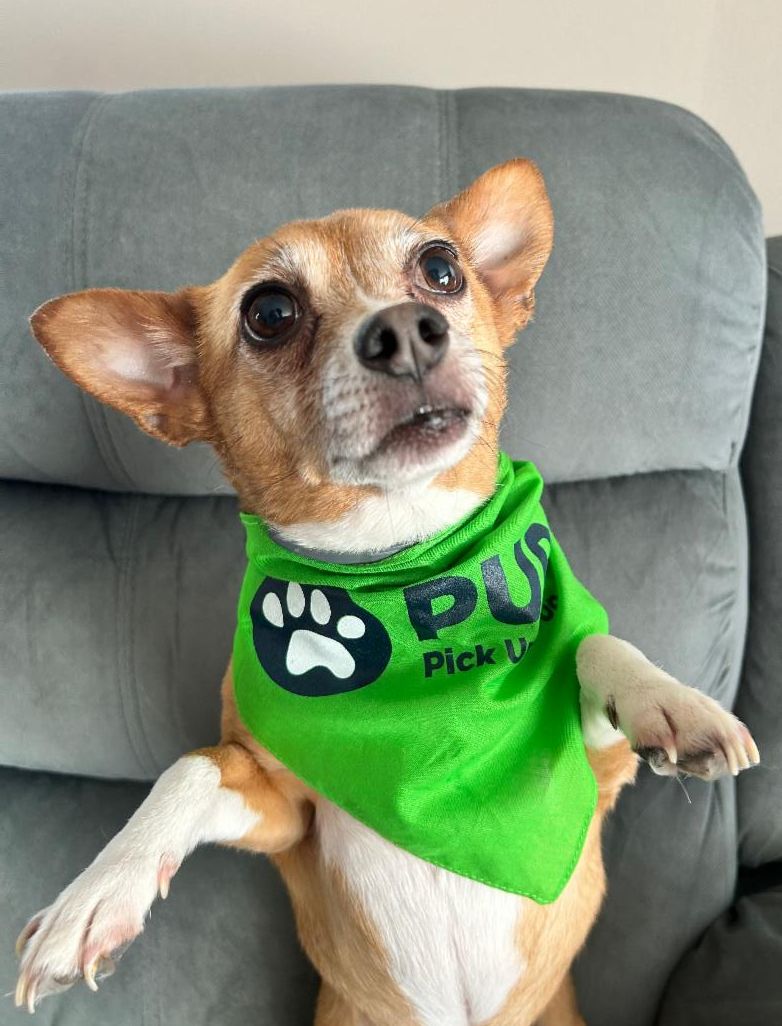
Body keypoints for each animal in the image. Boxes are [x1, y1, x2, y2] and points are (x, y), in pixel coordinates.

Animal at [15, 159, 759, 1024]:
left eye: (441, 269)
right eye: (269, 313)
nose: (406, 328)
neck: (405, 566)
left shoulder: (596, 774)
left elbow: (594, 642)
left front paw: (675, 705)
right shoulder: (283, 815)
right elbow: (190, 768)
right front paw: (95, 894)